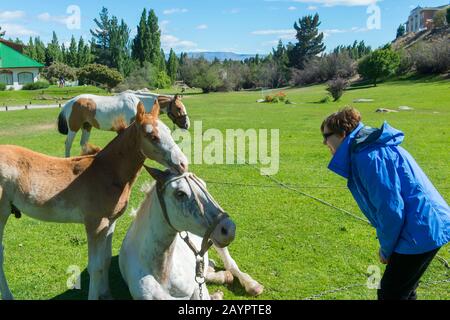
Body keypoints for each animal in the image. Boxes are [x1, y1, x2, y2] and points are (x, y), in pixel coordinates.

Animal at [0, 100, 188, 300]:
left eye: (168, 130)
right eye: (152, 136)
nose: (183, 164)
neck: (107, 172)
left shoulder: (110, 222)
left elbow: (105, 261)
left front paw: (106, 294)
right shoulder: (95, 224)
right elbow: (95, 267)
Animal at [57, 91, 189, 158]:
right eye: (178, 108)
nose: (187, 125)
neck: (137, 103)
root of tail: (70, 102)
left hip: (87, 126)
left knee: (83, 143)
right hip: (74, 128)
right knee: (68, 144)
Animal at [118, 168, 264, 300]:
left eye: (204, 186)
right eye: (180, 193)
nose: (230, 228)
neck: (162, 276)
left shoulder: (198, 288)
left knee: (230, 264)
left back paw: (251, 285)